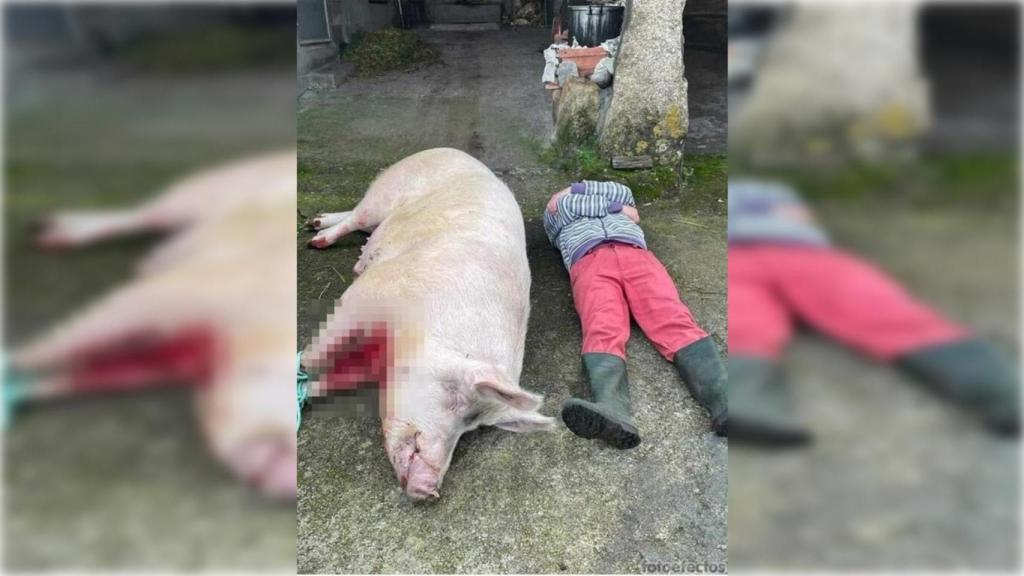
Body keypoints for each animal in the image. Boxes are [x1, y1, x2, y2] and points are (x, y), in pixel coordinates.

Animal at [11, 151, 298, 501]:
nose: (287, 477)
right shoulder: (175, 292)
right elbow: (64, 340)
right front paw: (15, 363)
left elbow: (81, 374)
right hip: (215, 183)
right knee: (147, 212)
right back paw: (47, 233)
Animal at [302, 147, 555, 501]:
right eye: (455, 397)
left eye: (473, 426)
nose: (429, 489)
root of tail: (452, 151)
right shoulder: (372, 291)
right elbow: (315, 356)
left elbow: (332, 378)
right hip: (388, 190)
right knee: (358, 215)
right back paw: (319, 238)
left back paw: (320, 226)